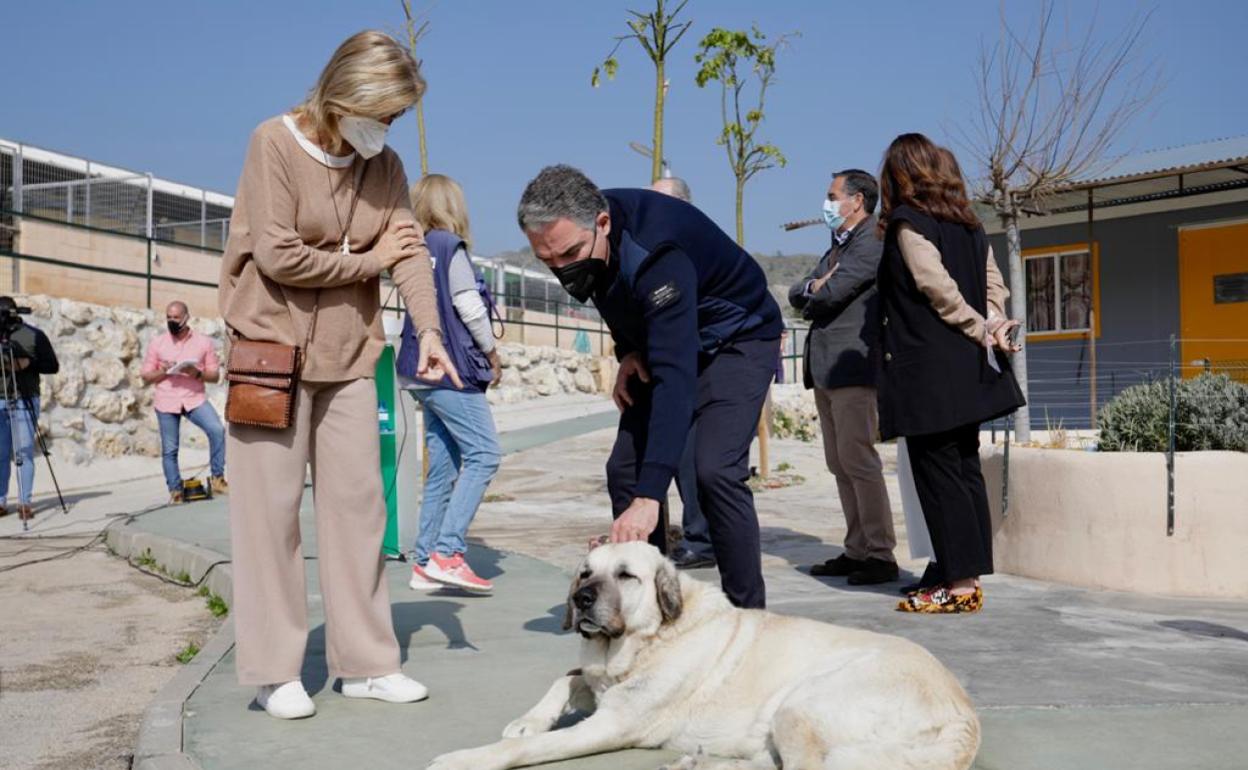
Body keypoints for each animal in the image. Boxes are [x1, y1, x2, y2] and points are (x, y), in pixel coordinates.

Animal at [431, 541, 983, 768]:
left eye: (626, 576)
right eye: (586, 573)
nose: (582, 600)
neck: (649, 639)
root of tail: (964, 716)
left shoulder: (613, 724)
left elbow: (528, 748)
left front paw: (466, 758)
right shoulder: (598, 678)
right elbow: (567, 677)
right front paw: (529, 719)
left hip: (802, 703)